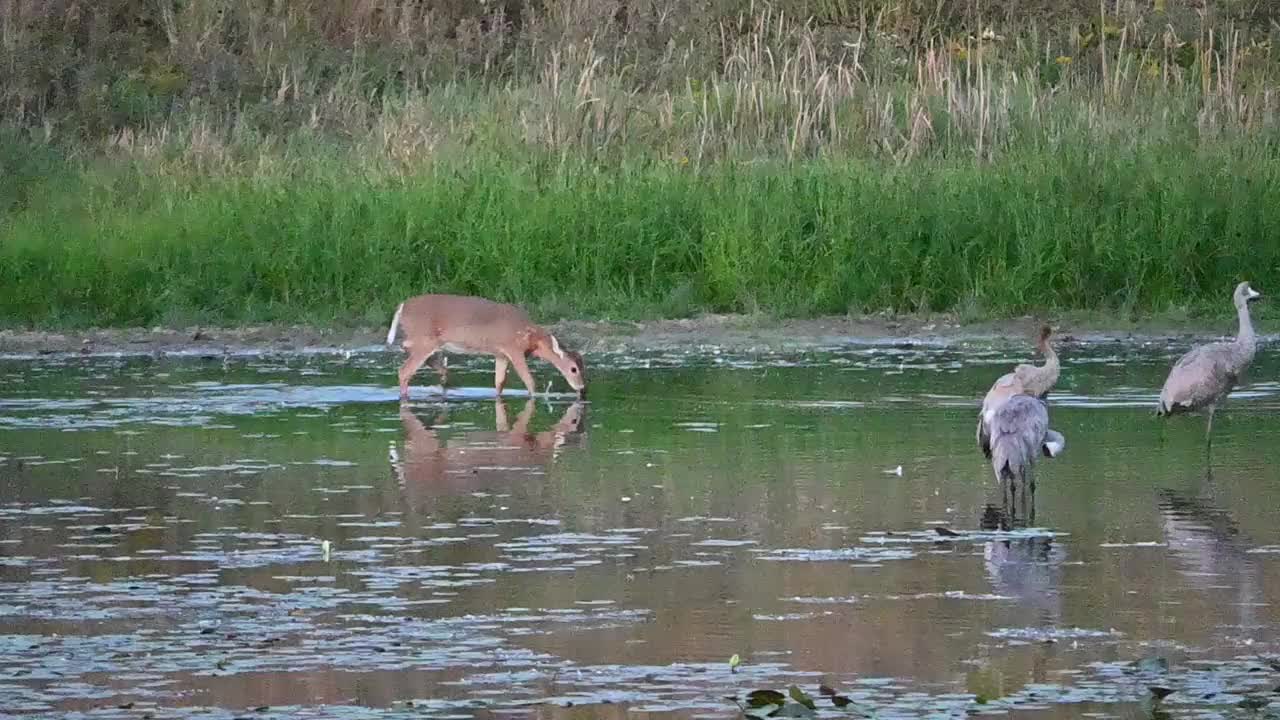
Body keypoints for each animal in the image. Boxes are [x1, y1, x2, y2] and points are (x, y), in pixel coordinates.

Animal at [381, 293, 586, 404]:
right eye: (573, 369)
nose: (582, 388)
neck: (532, 337)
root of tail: (402, 306)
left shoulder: (501, 354)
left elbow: (499, 383)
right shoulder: (513, 349)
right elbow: (530, 381)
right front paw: (535, 398)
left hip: (423, 342)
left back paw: (444, 378)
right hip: (424, 341)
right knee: (404, 370)